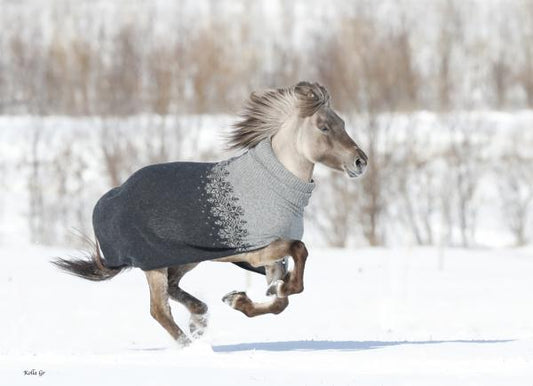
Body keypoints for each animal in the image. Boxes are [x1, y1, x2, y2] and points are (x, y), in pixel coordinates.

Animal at [52, 81, 368, 346]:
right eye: (324, 127)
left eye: (342, 123)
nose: (360, 161)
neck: (274, 183)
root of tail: (111, 197)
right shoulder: (257, 251)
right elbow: (299, 253)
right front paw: (268, 291)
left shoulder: (270, 260)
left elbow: (281, 301)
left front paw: (243, 298)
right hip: (154, 264)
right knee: (159, 309)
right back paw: (191, 345)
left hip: (185, 257)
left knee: (173, 289)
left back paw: (199, 319)